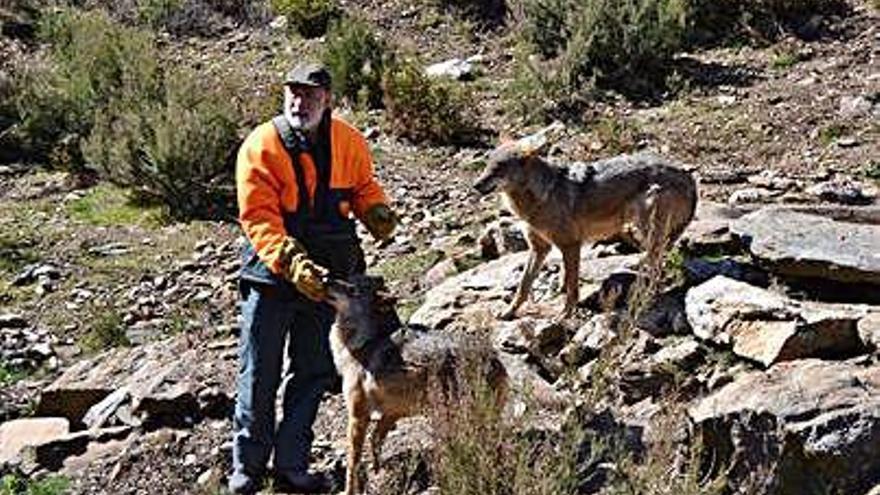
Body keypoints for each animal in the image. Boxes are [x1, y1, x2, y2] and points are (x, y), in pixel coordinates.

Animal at [324, 276, 506, 495]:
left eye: (352, 290)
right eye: (347, 279)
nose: (326, 279)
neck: (368, 340)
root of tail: (494, 359)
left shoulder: (358, 415)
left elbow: (353, 462)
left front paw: (350, 489)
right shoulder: (392, 413)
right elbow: (376, 441)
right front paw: (377, 470)